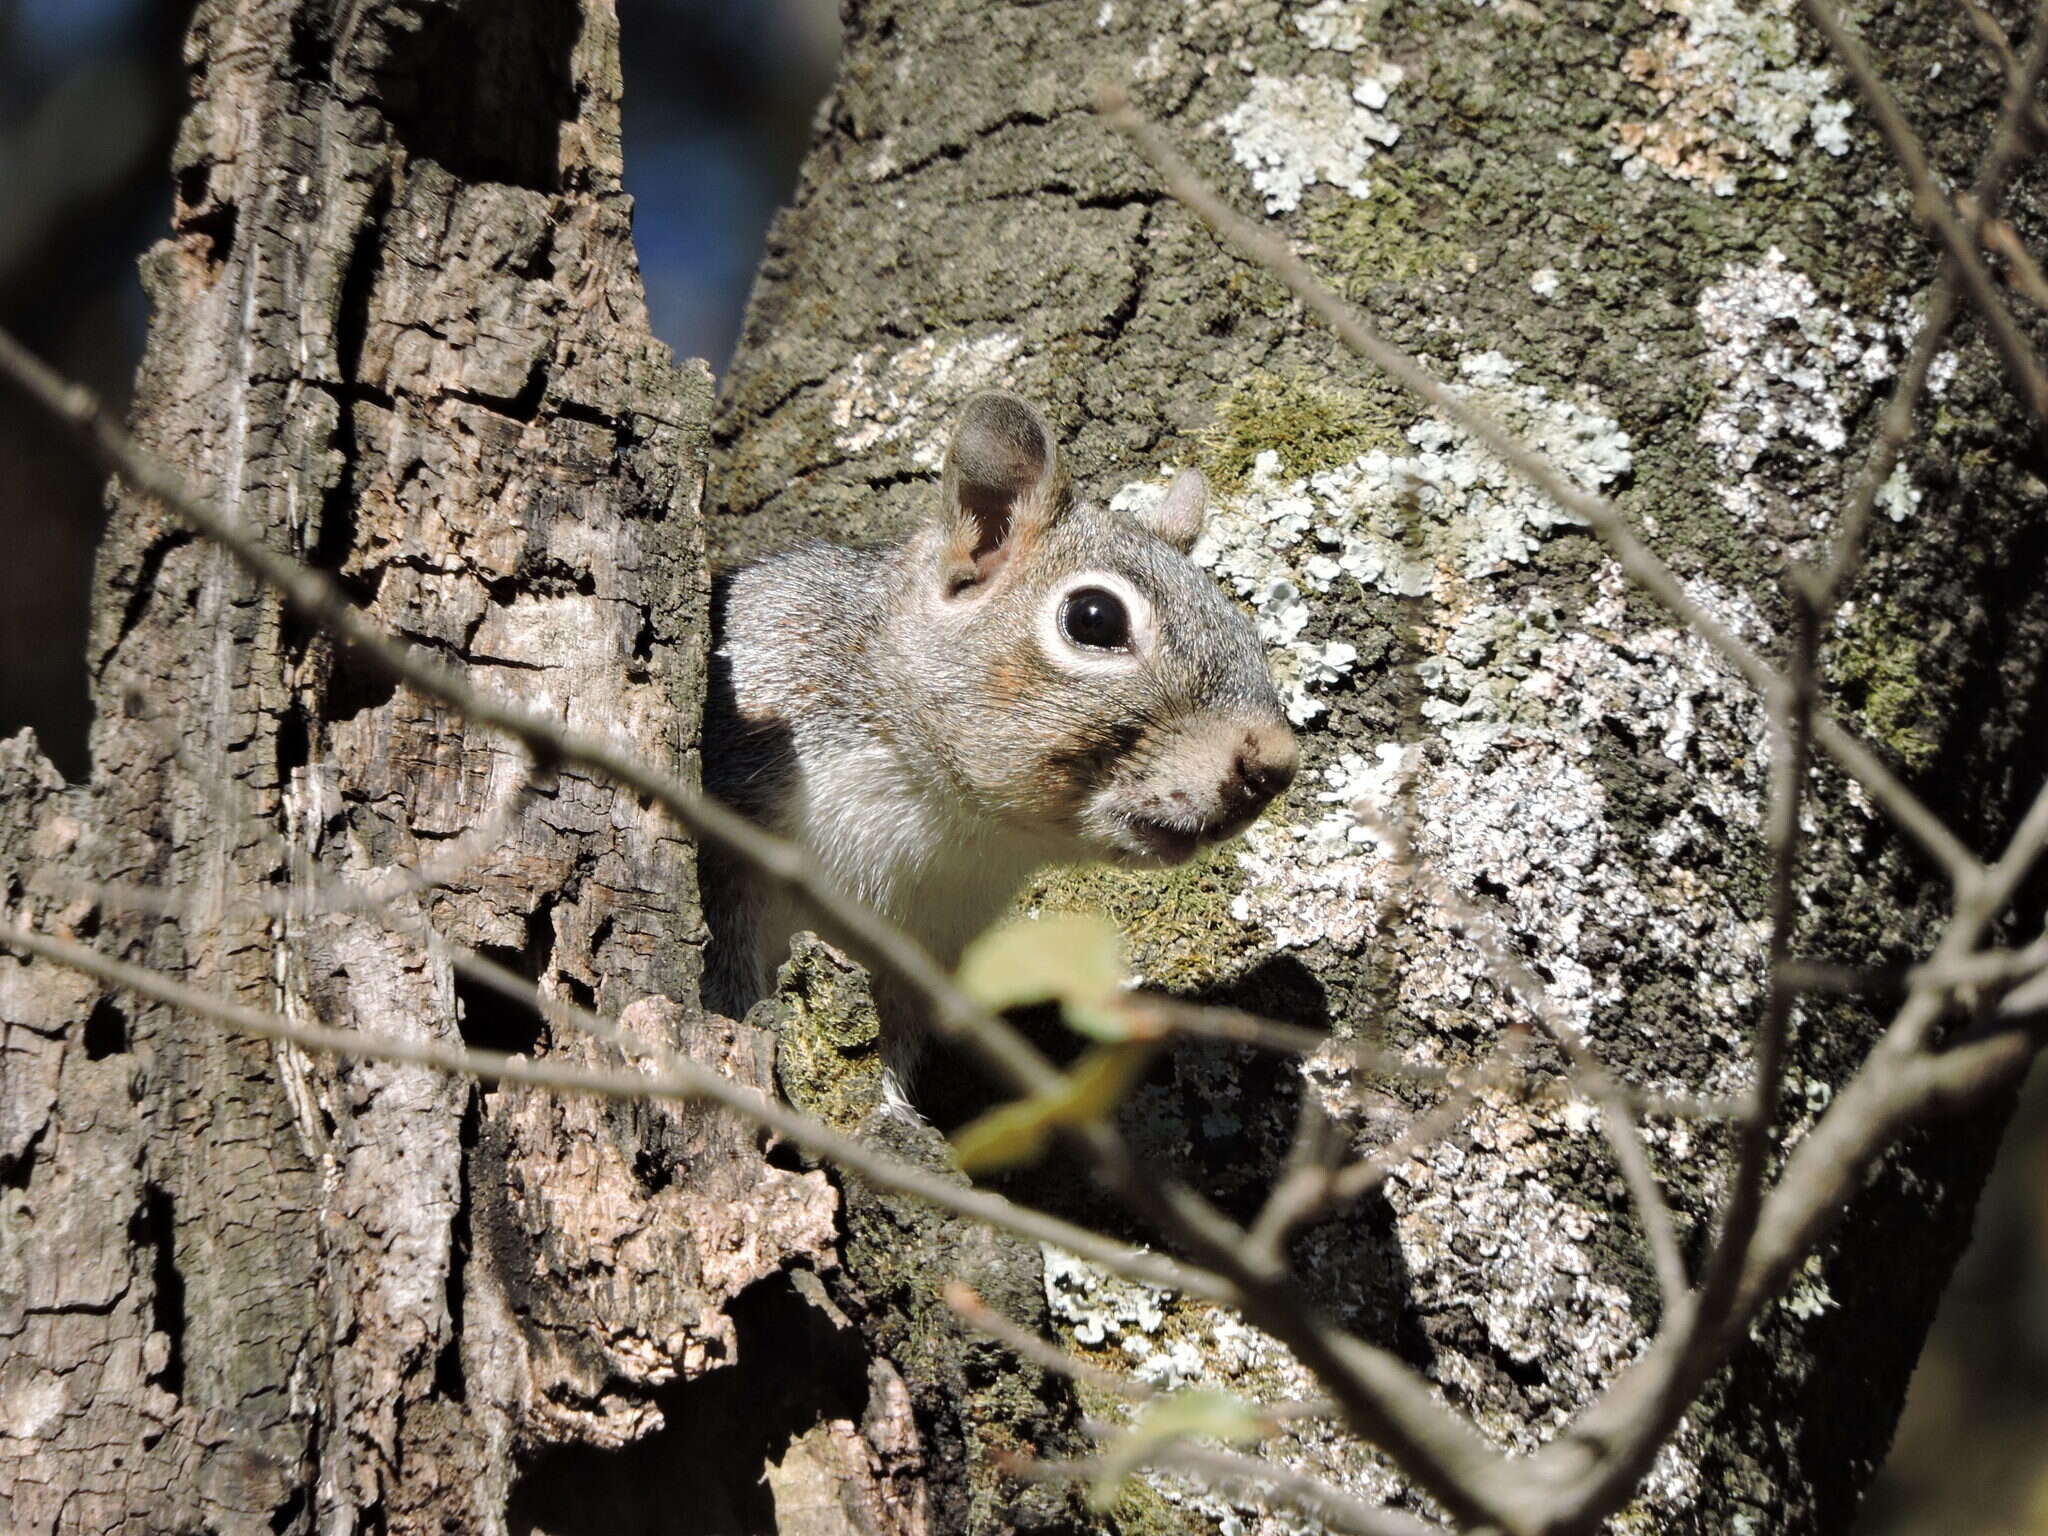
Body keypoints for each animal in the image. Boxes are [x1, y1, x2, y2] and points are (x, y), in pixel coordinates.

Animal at [708, 391, 1294, 1097]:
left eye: (1248, 628)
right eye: (1095, 618)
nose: (1276, 764)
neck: (949, 821)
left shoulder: (915, 952)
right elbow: (726, 968)